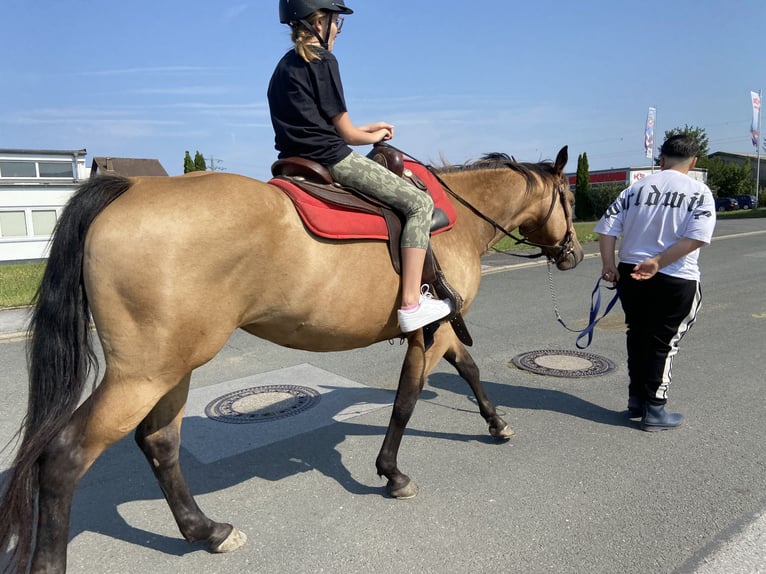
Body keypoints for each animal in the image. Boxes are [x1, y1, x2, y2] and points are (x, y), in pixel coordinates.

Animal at [0, 145, 584, 574]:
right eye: (570, 199)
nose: (575, 254)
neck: (456, 216)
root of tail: (131, 190)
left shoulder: (438, 328)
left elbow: (469, 371)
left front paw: (496, 423)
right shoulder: (432, 332)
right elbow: (407, 399)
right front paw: (391, 472)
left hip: (171, 367)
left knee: (160, 443)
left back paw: (206, 530)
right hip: (143, 374)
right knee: (66, 456)